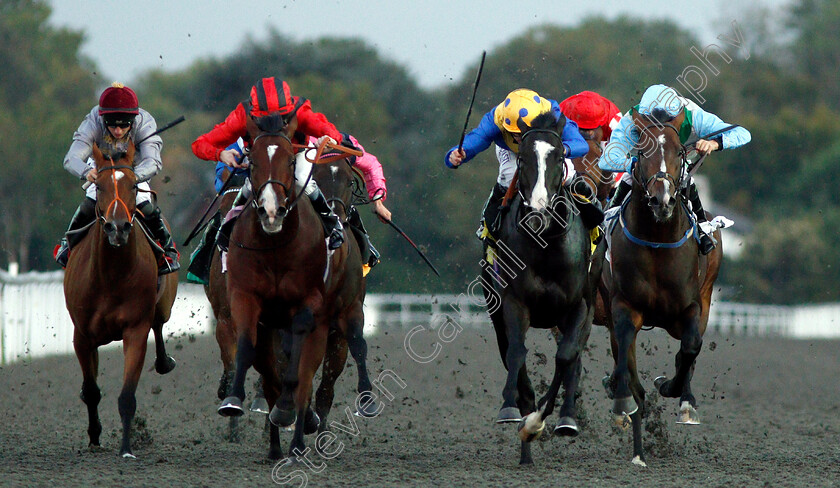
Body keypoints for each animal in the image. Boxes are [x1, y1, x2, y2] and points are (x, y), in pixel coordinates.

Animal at [65, 141, 178, 458]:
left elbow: (127, 395)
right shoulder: (82, 335)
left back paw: (164, 361)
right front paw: (94, 436)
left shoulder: (135, 330)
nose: (117, 228)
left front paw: (126, 448)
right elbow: (92, 390)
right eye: (99, 186)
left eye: (132, 185)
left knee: (159, 324)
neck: (110, 276)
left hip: (163, 305)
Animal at [217, 115, 332, 462]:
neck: (276, 245)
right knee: (268, 374)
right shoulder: (244, 297)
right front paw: (233, 400)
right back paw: (275, 445)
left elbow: (297, 368)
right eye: (251, 161)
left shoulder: (309, 300)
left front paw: (287, 410)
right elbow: (245, 346)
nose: (271, 210)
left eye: (291, 160)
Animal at [482, 111, 592, 466]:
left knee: (572, 358)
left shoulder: (580, 306)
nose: (539, 211)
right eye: (522, 159)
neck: (545, 244)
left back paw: (564, 417)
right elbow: (517, 352)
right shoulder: (513, 303)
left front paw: (546, 420)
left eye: (558, 157)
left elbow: (566, 357)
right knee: (509, 352)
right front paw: (512, 411)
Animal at [600, 109, 724, 466]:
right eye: (641, 153)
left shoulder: (691, 307)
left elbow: (691, 348)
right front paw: (624, 406)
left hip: (704, 297)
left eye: (680, 153)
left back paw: (684, 400)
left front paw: (674, 391)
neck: (657, 240)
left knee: (689, 351)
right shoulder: (623, 307)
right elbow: (627, 365)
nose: (662, 200)